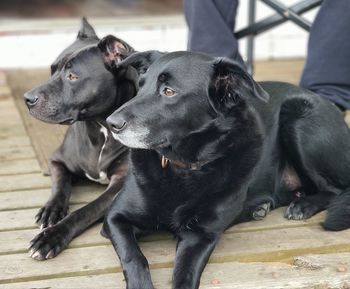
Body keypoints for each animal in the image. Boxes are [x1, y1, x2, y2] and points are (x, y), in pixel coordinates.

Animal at [23, 19, 137, 260]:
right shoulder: (57, 160)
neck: (100, 128)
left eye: (72, 77)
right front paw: (51, 210)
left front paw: (51, 237)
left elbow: (85, 211)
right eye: (52, 70)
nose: (27, 98)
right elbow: (60, 186)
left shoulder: (121, 184)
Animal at [104, 50, 350, 286]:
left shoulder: (201, 236)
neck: (184, 168)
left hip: (299, 119)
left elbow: (185, 274)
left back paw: (303, 206)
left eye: (169, 91)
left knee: (336, 189)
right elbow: (134, 257)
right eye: (141, 86)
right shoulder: (115, 218)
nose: (111, 123)